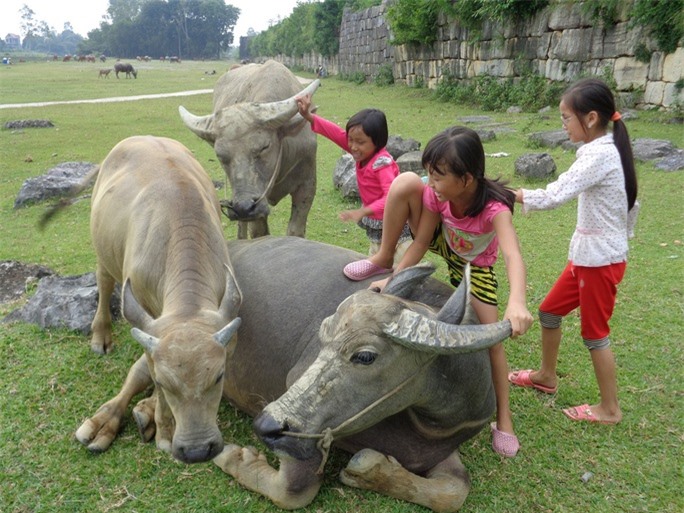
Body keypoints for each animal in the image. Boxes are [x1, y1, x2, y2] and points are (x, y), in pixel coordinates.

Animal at [43, 136, 243, 464]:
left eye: (219, 376)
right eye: (164, 382)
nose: (198, 450)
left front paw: (154, 418)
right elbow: (147, 368)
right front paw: (164, 429)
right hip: (103, 253)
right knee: (104, 283)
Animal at [178, 59, 320, 238]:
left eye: (265, 146)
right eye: (220, 155)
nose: (243, 208)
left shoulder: (307, 186)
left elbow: (296, 230)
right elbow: (259, 233)